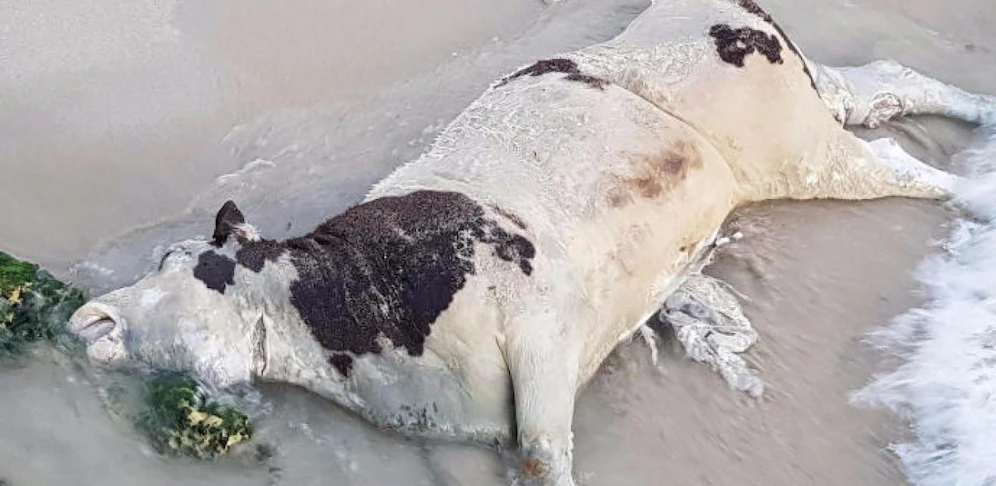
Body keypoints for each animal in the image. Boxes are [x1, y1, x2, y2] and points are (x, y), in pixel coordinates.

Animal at [68, 0, 996, 484]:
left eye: (186, 266)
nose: (87, 319)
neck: (342, 315)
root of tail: (728, 7)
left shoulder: (544, 328)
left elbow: (548, 457)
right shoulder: (451, 435)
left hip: (799, 154)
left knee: (896, 161)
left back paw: (978, 193)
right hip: (809, 109)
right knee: (886, 87)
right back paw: (979, 114)